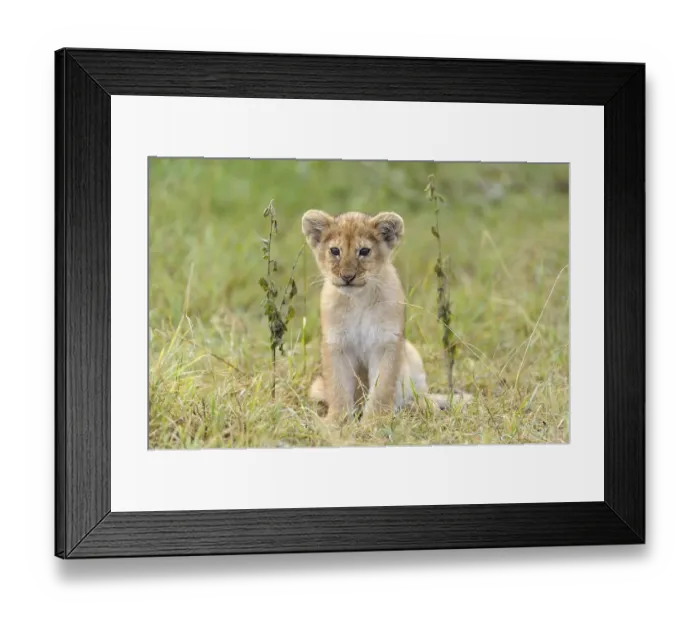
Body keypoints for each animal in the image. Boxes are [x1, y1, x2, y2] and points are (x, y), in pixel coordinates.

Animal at [301, 209, 471, 423]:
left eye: (364, 251)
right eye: (335, 251)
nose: (347, 277)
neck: (359, 299)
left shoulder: (386, 342)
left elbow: (382, 388)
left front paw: (374, 422)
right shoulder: (337, 344)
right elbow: (338, 387)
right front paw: (336, 421)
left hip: (412, 354)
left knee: (420, 395)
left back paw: (422, 408)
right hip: (316, 387)